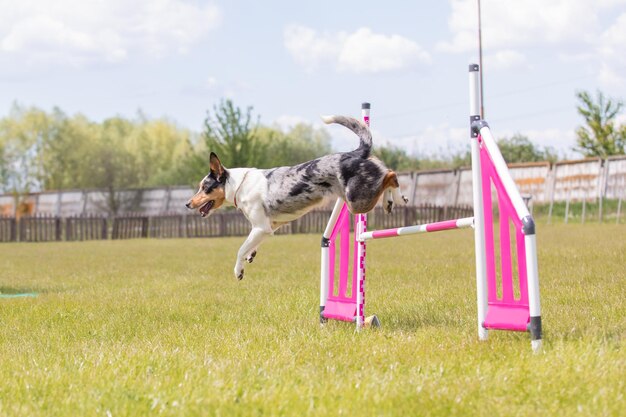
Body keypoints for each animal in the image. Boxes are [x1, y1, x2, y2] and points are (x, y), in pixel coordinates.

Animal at [183, 114, 408, 280]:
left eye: (204, 187)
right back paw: (390, 202)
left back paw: (398, 198)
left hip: (357, 201)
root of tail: (353, 153)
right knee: (385, 171)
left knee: (390, 174)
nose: (187, 204)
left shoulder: (260, 226)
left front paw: (238, 271)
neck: (239, 185)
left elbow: (240, 249)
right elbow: (251, 245)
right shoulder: (269, 226)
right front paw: (251, 255)